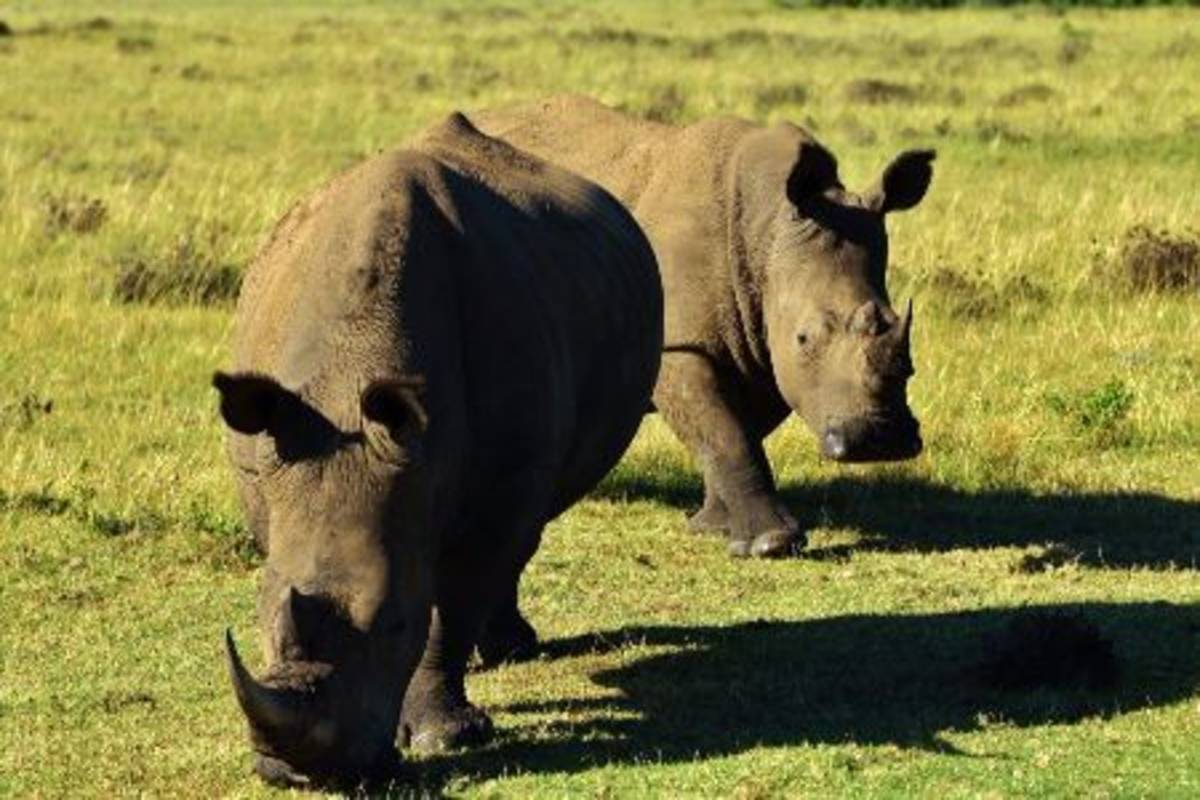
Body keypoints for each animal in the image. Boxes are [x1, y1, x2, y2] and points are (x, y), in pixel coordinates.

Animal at [213, 112, 662, 786]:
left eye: (394, 622)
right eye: (259, 611)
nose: (298, 774)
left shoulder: (495, 482)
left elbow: (452, 603)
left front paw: (442, 735)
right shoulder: (276, 468)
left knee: (522, 533)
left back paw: (508, 650)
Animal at [474, 95, 934, 559]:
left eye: (900, 326)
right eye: (804, 338)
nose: (878, 441)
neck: (767, 228)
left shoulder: (760, 346)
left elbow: (735, 432)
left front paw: (714, 526)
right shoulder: (679, 344)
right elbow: (727, 435)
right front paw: (771, 544)